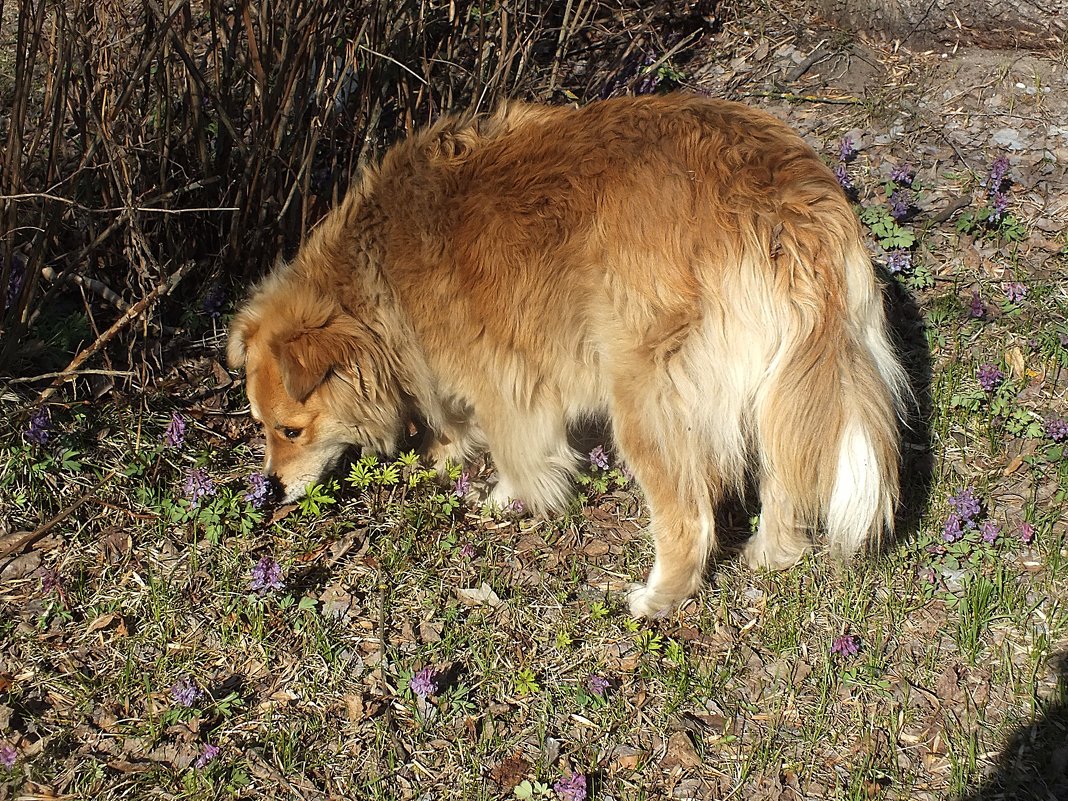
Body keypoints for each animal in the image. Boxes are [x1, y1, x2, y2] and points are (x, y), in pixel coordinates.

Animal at [229, 95, 905, 619]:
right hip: (785, 384)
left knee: (691, 516)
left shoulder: (502, 378)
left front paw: (503, 495)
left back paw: (657, 599)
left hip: (647, 400)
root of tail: (783, 202)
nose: (269, 489)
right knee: (786, 479)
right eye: (262, 427)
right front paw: (444, 455)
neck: (373, 279)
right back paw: (769, 556)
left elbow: (515, 448)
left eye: (290, 430)